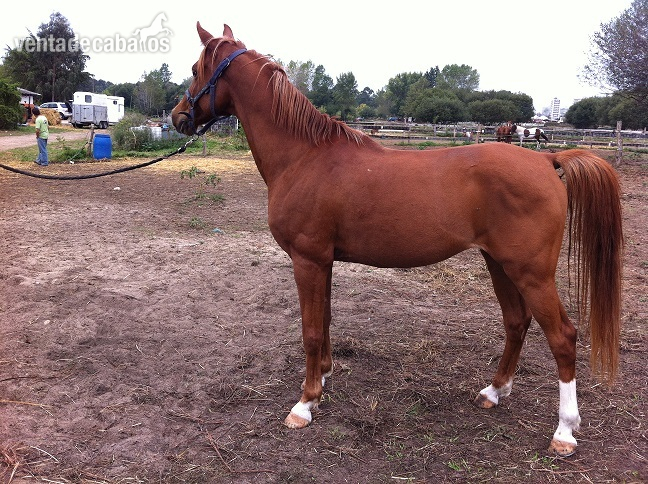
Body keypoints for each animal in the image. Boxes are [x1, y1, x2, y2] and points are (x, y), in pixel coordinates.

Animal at [172, 24, 623, 457]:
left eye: (195, 70)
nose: (178, 117)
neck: (305, 157)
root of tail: (547, 160)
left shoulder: (307, 260)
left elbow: (311, 331)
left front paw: (305, 403)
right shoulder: (324, 262)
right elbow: (326, 320)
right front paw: (325, 376)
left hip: (531, 272)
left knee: (562, 337)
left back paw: (564, 432)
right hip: (499, 263)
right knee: (516, 322)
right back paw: (494, 391)